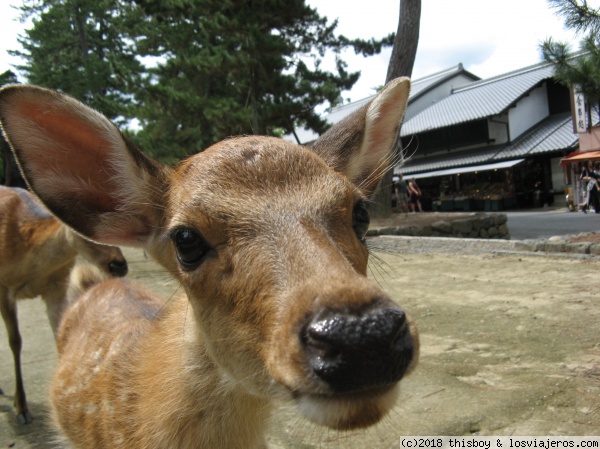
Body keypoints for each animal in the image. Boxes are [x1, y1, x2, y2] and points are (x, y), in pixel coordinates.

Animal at [0, 185, 127, 424]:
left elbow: (60, 334)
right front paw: (21, 408)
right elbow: (15, 341)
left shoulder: (57, 288)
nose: (119, 265)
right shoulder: (3, 288)